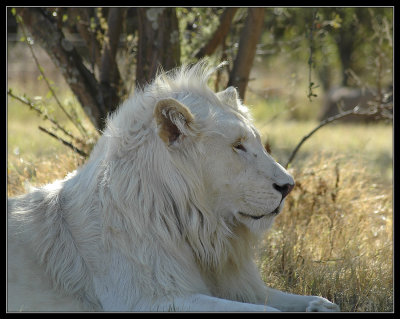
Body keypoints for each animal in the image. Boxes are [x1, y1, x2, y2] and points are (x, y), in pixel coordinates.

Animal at [7, 60, 340, 312]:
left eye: (256, 142)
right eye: (238, 146)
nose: (288, 186)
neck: (200, 229)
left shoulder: (238, 285)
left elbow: (299, 300)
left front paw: (320, 306)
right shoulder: (149, 300)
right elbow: (264, 311)